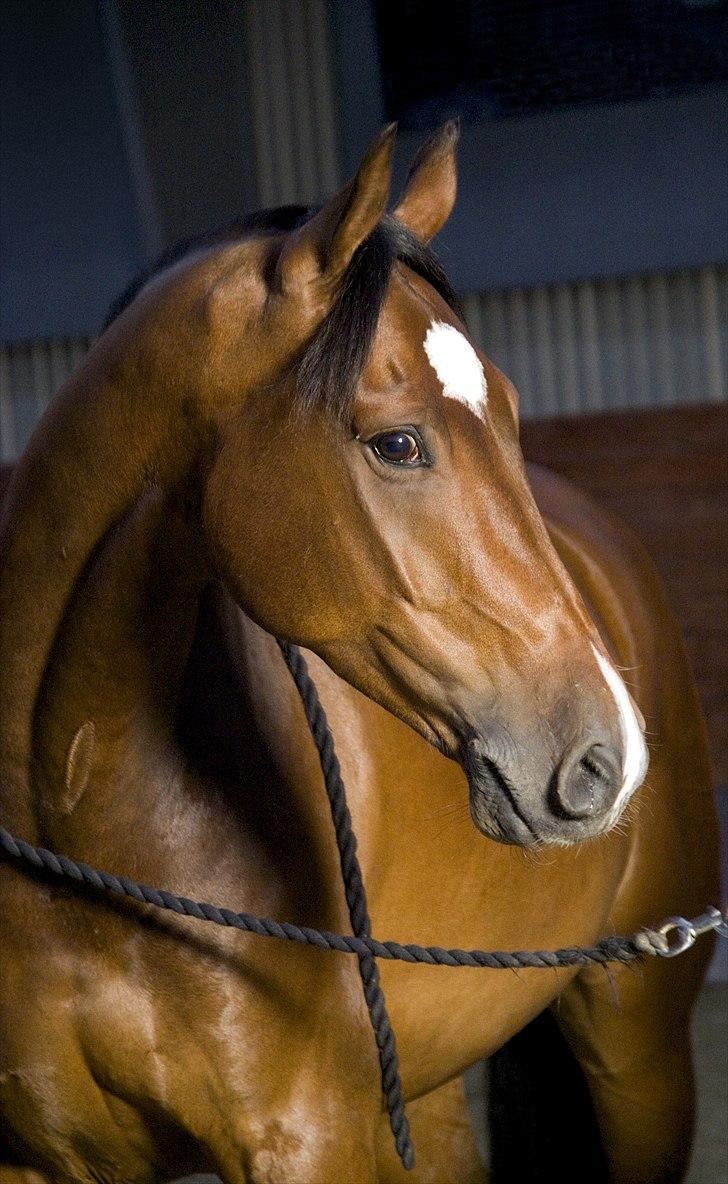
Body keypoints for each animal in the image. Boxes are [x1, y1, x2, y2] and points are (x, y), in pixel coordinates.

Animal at [0, 122, 719, 1184]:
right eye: (397, 444)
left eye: (510, 410)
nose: (607, 759)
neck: (73, 820)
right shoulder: (40, 1156)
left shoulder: (309, 1139)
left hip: (640, 1059)